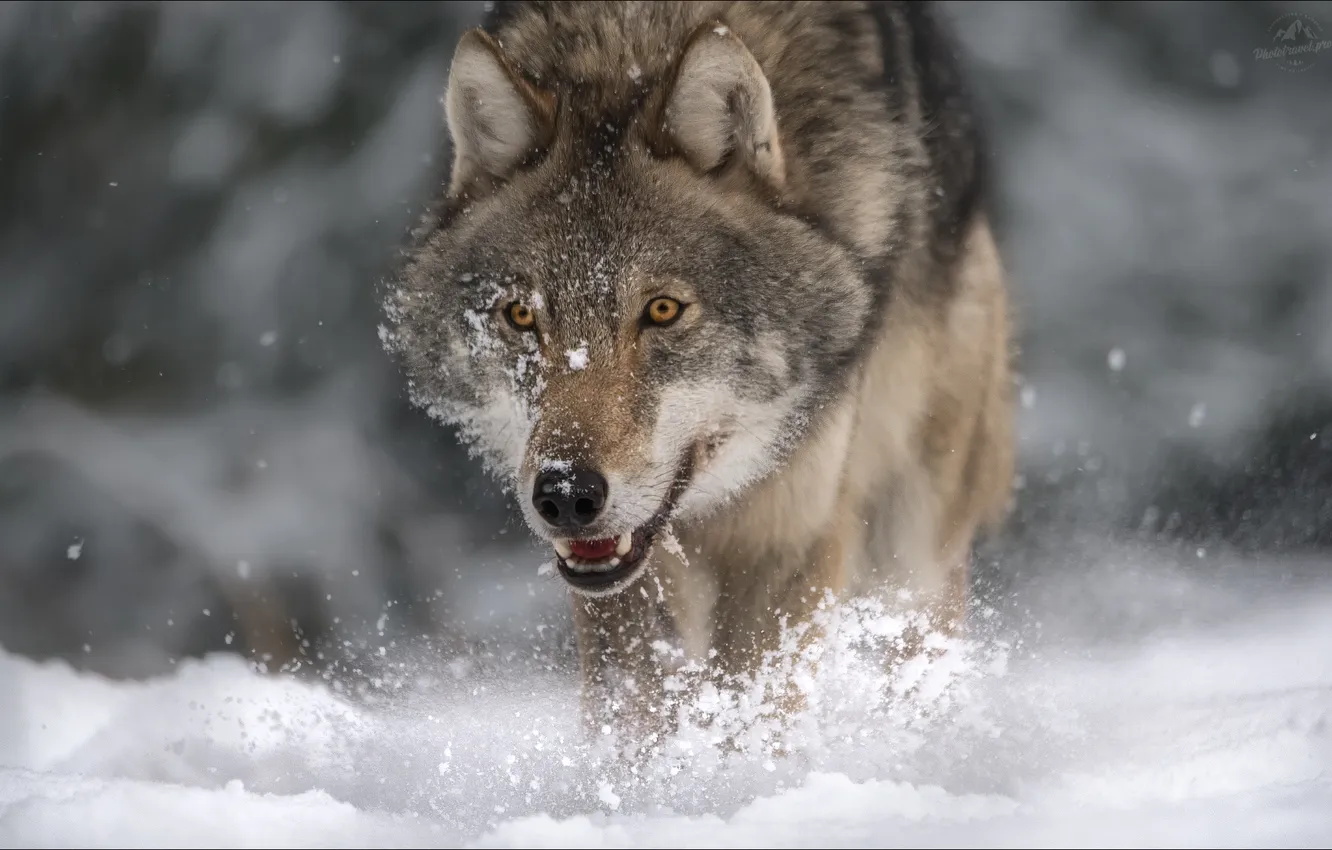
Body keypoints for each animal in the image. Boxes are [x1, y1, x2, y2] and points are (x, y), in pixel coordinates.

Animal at [382, 0, 1015, 749]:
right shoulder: (618, 582)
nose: (566, 495)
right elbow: (632, 718)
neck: (632, 43)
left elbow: (753, 712)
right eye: (520, 315)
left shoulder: (790, 537)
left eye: (662, 310)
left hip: (913, 538)